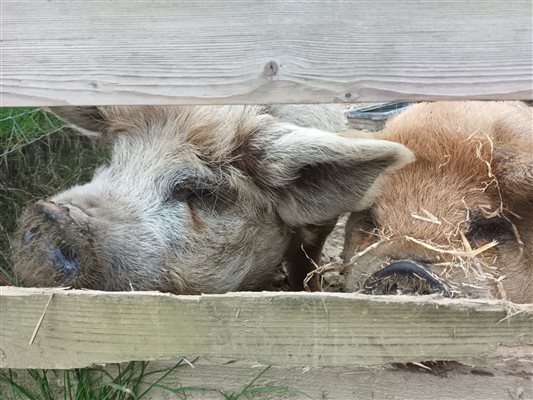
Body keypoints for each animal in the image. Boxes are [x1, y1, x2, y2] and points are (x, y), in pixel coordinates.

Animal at [11, 104, 412, 296]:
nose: (50, 217)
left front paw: (308, 292)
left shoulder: (319, 227)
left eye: (198, 191)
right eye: (114, 160)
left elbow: (304, 262)